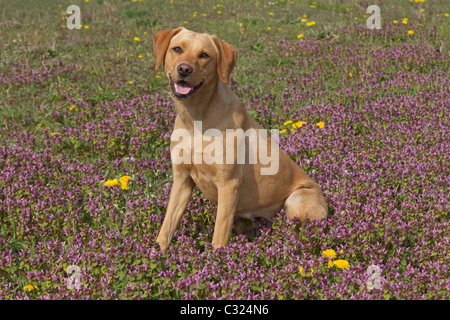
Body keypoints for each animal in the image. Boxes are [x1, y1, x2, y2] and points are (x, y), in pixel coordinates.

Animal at [152, 27, 326, 251]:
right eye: (177, 49)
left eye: (204, 55)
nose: (184, 69)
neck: (195, 119)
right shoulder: (182, 180)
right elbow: (167, 226)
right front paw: (157, 253)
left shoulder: (229, 184)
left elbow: (219, 234)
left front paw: (216, 259)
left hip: (296, 199)